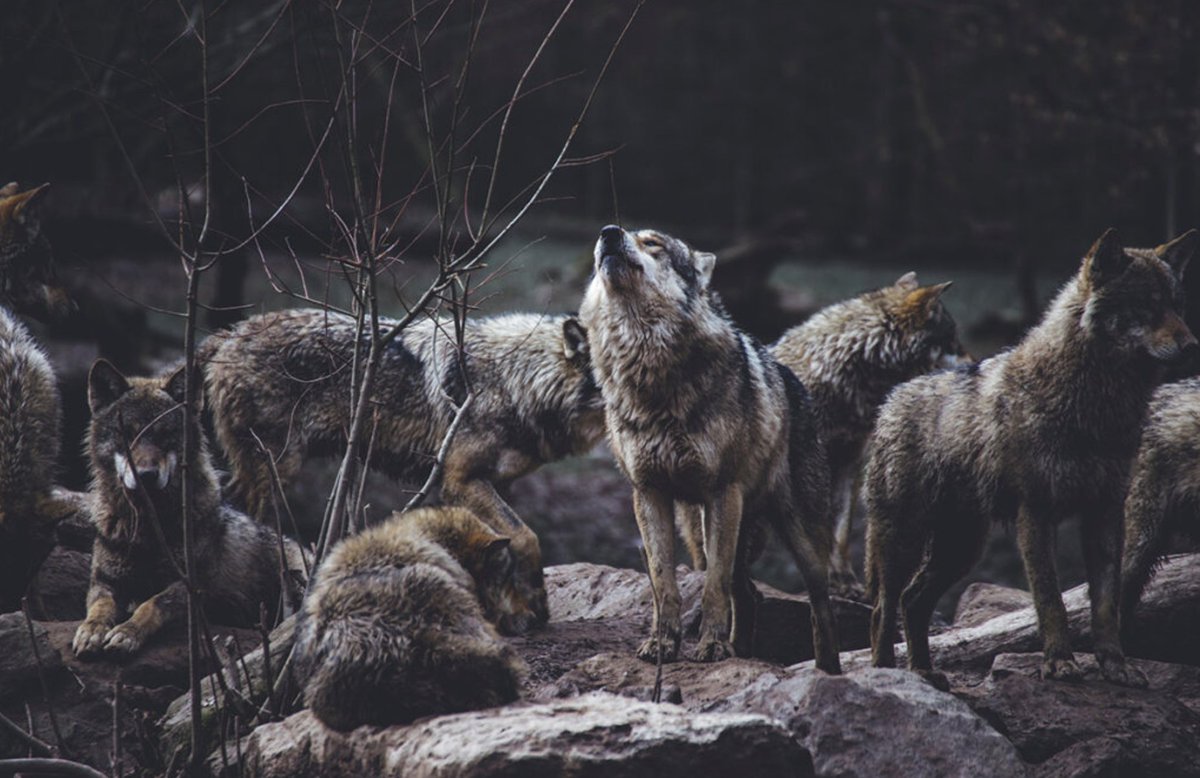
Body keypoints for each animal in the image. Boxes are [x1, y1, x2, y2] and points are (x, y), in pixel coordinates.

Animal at [72, 360, 309, 658]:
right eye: (128, 434)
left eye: (165, 435)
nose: (146, 475)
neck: (149, 529)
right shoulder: (105, 582)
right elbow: (100, 607)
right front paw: (91, 630)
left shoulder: (191, 587)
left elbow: (151, 604)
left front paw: (127, 633)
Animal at [199, 308, 605, 633]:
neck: (516, 380)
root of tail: (230, 333)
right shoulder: (460, 480)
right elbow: (526, 537)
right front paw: (535, 604)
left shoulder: (497, 483)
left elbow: (505, 547)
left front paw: (519, 611)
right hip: (275, 470)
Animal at [579, 225, 840, 672]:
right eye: (615, 235)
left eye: (653, 243)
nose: (608, 233)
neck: (649, 371)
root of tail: (794, 380)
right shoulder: (648, 493)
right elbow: (663, 582)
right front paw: (662, 645)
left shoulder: (721, 492)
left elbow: (712, 587)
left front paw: (713, 648)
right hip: (702, 529)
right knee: (749, 594)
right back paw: (743, 652)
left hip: (797, 537)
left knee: (819, 606)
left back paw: (828, 671)